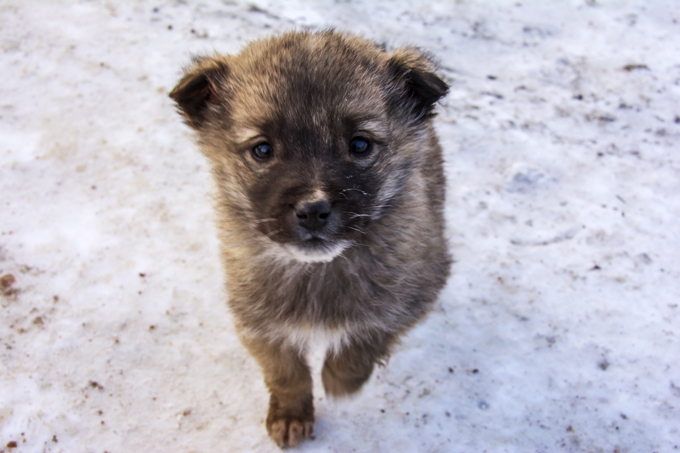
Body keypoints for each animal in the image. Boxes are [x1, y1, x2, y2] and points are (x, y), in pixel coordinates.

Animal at [169, 30, 452, 446]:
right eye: (262, 149)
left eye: (360, 144)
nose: (313, 210)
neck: (316, 271)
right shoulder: (258, 322)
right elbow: (286, 374)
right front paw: (291, 416)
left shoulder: (412, 297)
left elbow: (364, 343)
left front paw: (339, 381)